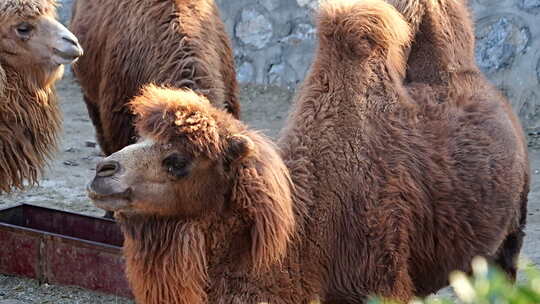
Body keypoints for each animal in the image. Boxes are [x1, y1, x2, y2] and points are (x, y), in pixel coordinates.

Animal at [87, 0, 528, 302]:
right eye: (140, 138)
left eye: (178, 161)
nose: (102, 172)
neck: (310, 229)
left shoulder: (382, 280)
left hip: (510, 235)